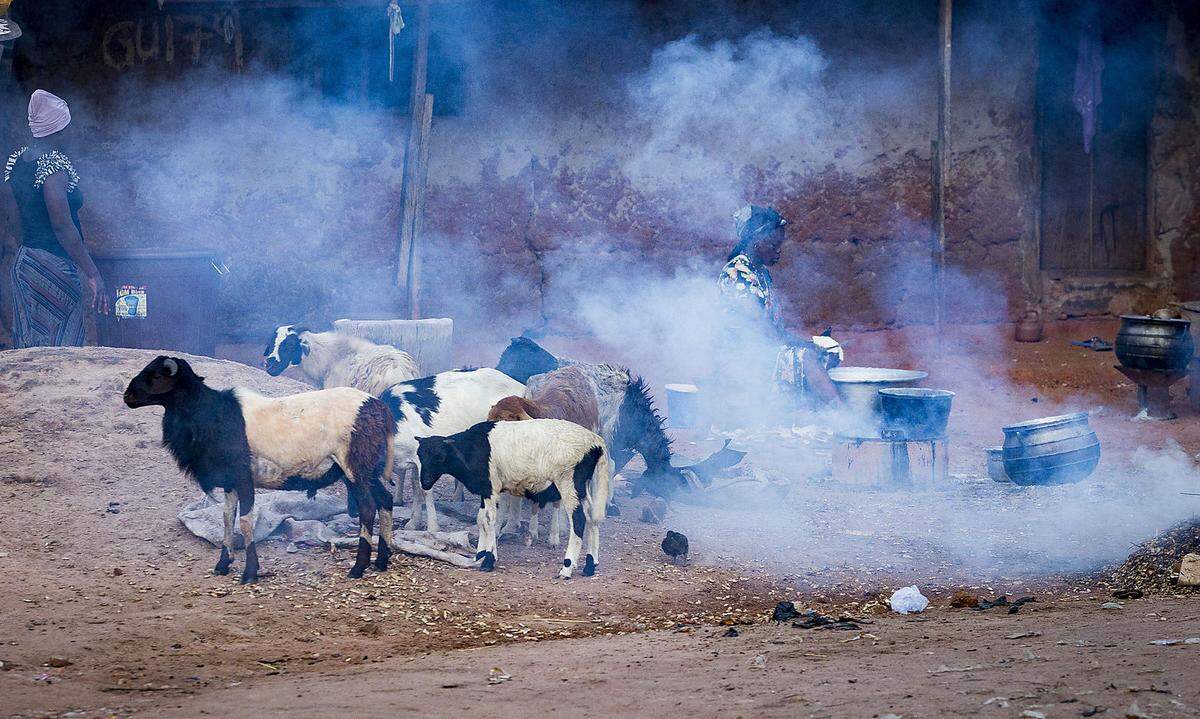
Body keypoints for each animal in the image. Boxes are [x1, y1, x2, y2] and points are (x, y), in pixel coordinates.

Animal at [126, 355, 398, 585]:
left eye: (156, 376)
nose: (127, 396)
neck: (209, 414)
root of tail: (380, 408)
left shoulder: (243, 476)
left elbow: (245, 522)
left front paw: (249, 573)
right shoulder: (230, 481)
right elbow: (226, 518)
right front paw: (223, 565)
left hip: (355, 466)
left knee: (368, 508)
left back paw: (358, 568)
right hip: (366, 470)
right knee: (385, 500)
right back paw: (381, 562)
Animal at [376, 369, 523, 530]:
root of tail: (519, 385)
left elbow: (424, 489)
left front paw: (432, 527)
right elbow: (415, 487)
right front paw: (414, 523)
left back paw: (510, 525)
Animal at [420, 422, 609, 578]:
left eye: (439, 457)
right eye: (420, 456)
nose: (424, 482)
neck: (471, 448)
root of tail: (596, 442)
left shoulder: (491, 487)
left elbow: (489, 520)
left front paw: (489, 560)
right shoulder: (484, 489)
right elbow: (481, 520)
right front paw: (480, 555)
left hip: (568, 481)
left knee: (579, 519)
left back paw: (567, 568)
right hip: (582, 486)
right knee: (592, 518)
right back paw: (590, 566)